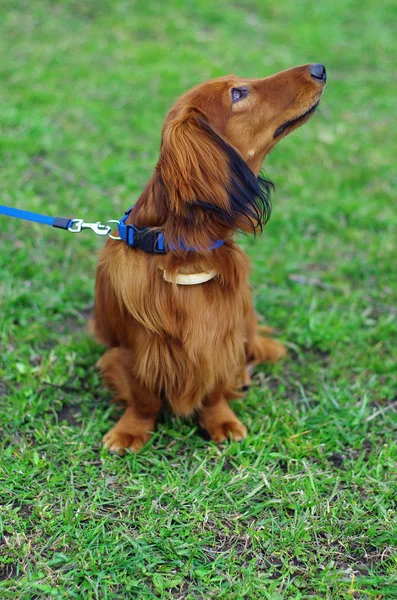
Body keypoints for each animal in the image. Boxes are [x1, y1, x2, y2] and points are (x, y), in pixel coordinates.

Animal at [94, 63, 326, 452]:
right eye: (237, 93)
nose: (319, 69)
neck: (183, 250)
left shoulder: (221, 339)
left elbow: (216, 387)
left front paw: (221, 420)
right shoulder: (131, 352)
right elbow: (143, 398)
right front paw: (131, 431)